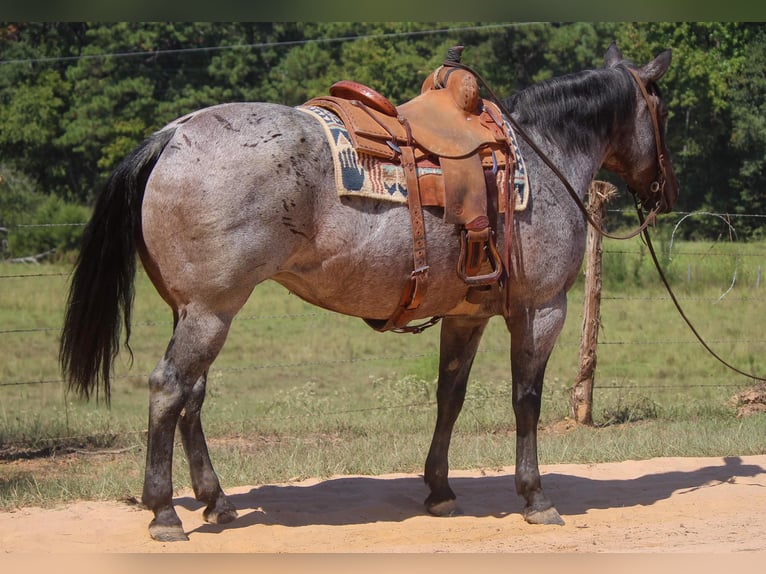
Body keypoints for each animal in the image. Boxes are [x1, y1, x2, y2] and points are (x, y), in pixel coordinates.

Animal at [63, 42, 680, 544]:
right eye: (664, 110)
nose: (665, 192)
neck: (543, 153)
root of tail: (173, 135)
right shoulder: (540, 308)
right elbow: (525, 401)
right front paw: (535, 496)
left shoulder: (466, 314)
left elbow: (449, 396)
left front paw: (439, 490)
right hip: (211, 312)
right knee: (170, 389)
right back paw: (165, 512)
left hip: (192, 311)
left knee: (192, 395)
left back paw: (216, 502)